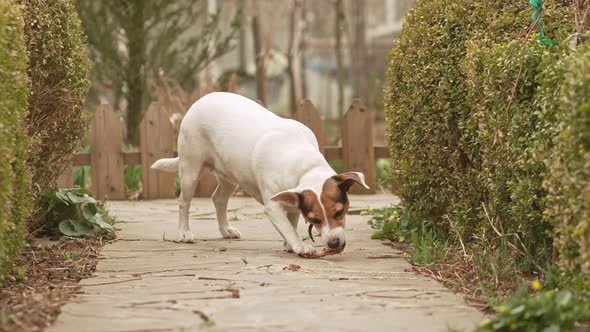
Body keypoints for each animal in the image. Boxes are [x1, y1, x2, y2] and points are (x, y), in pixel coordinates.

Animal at [150, 92, 368, 256]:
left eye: (339, 212)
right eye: (314, 219)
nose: (333, 243)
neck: (303, 162)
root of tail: (199, 101)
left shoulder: (293, 202)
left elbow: (291, 222)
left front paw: (289, 244)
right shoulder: (272, 206)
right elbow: (287, 226)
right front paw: (299, 245)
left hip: (230, 174)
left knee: (219, 198)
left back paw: (225, 229)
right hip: (190, 169)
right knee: (184, 202)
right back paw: (184, 233)